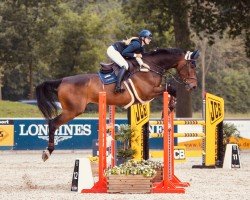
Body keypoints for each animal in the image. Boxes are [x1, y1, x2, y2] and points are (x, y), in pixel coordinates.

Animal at [35, 47, 199, 161]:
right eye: (191, 66)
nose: (193, 86)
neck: (150, 67)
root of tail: (62, 81)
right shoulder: (147, 93)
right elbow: (171, 89)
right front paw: (169, 108)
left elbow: (171, 90)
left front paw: (169, 108)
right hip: (72, 110)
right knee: (53, 123)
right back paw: (47, 152)